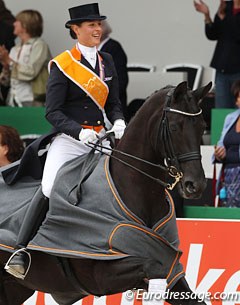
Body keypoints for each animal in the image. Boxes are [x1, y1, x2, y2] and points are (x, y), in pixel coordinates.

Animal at [0, 81, 211, 304]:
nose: (195, 185)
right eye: (174, 127)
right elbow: (154, 266)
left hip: (14, 288)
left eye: (202, 127)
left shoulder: (169, 266)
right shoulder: (100, 275)